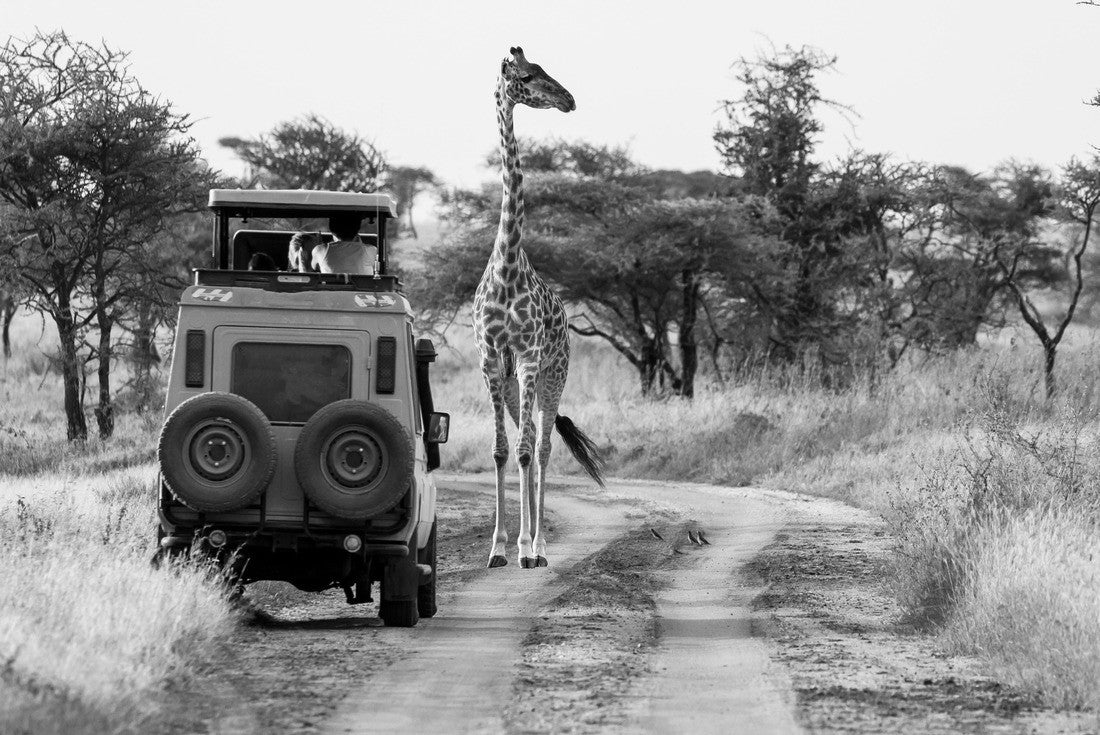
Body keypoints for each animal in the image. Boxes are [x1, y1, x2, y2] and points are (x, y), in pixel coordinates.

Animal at [473, 46, 605, 570]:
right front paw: (497, 549)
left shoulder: (529, 360)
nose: (568, 99)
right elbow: (501, 450)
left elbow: (529, 450)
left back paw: (541, 546)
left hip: (554, 375)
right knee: (525, 440)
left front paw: (527, 547)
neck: (508, 265)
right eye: (528, 76)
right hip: (515, 385)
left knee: (544, 447)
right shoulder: (493, 363)